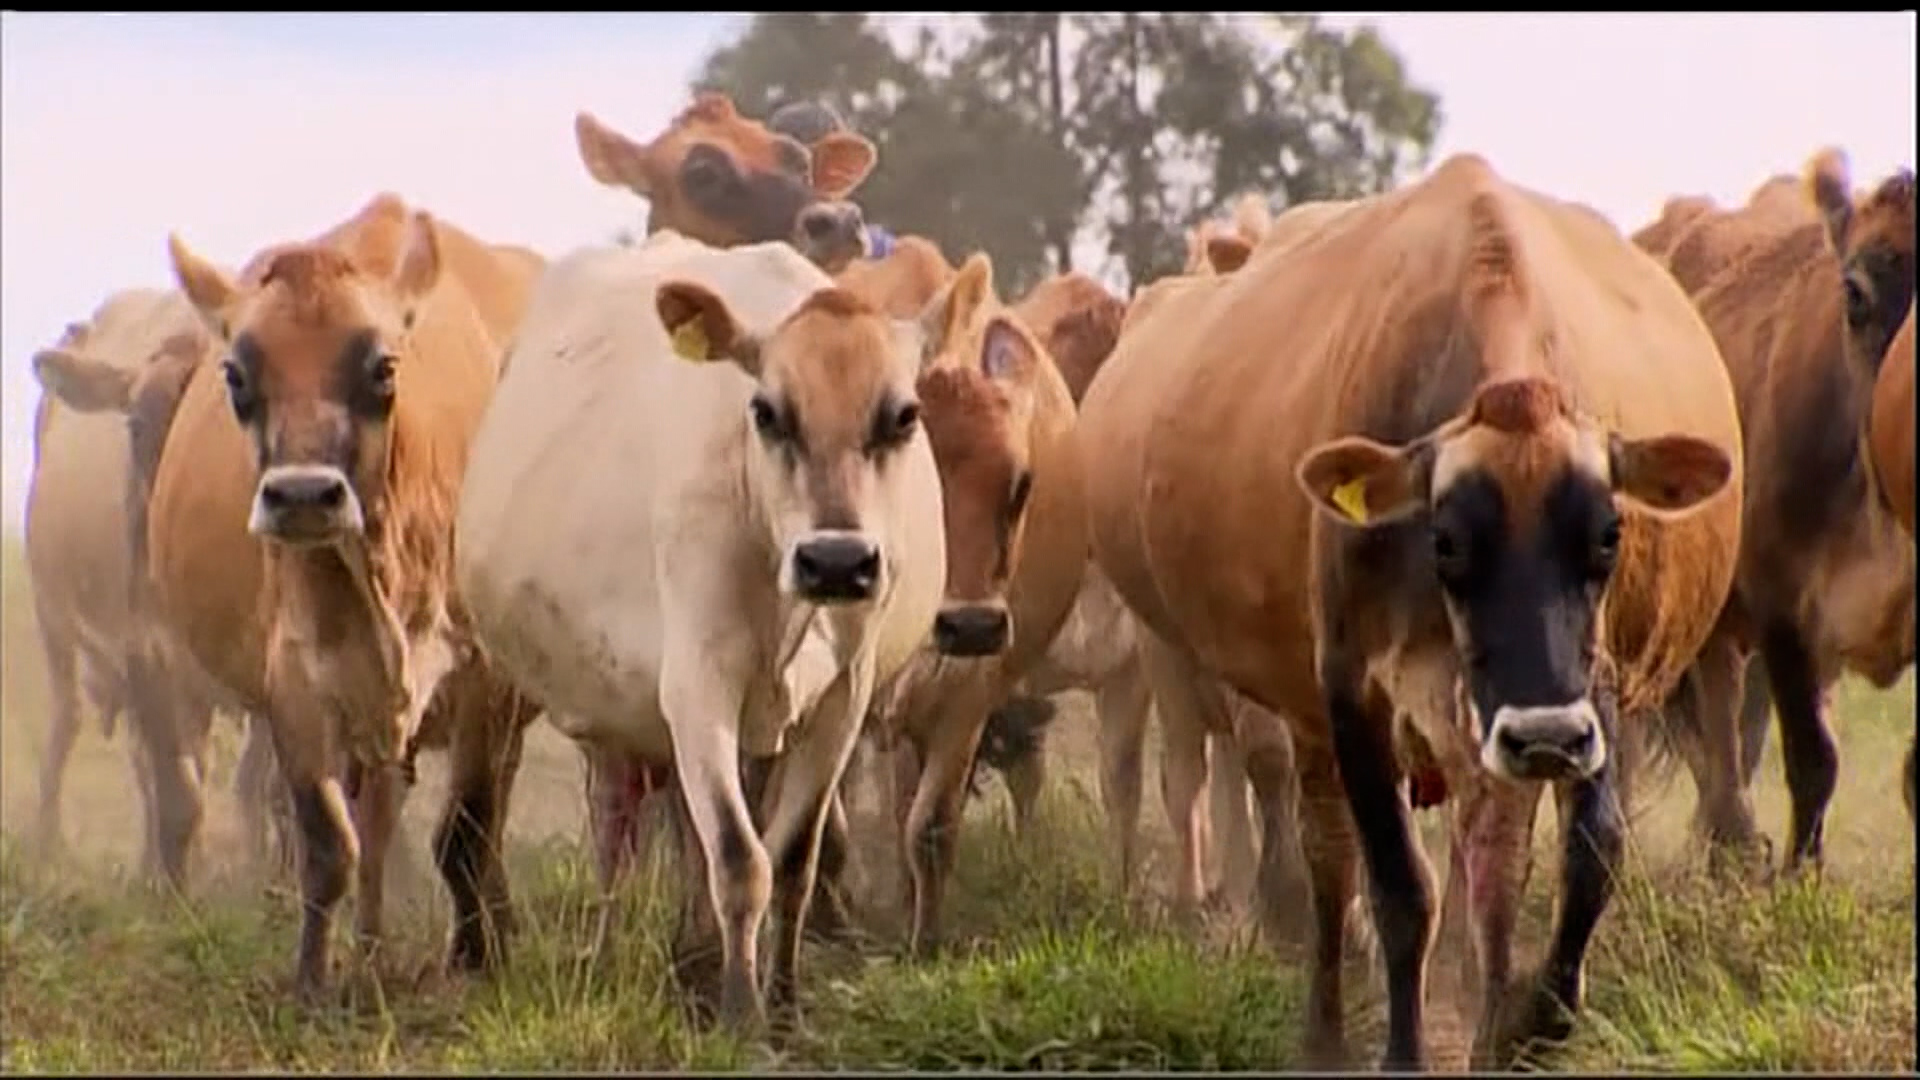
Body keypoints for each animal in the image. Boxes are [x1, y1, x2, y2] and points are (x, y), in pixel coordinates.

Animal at [140, 195, 541, 999]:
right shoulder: (296, 682)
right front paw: (313, 980)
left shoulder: (488, 678)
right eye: (236, 373)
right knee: (376, 818)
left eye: (384, 367)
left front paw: (474, 960)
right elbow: (329, 843)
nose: (302, 496)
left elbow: (467, 833)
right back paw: (372, 944)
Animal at [452, 231, 945, 1031]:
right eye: (767, 412)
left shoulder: (844, 697)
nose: (836, 561)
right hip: (605, 711)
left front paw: (783, 1001)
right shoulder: (696, 685)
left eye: (902, 415)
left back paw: (696, 957)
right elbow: (740, 858)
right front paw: (741, 1016)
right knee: (616, 828)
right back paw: (614, 954)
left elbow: (794, 860)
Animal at [1077, 154, 1742, 1069]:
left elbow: (1584, 855)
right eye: (1447, 539)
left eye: (1609, 535)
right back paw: (1324, 1026)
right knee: (1325, 857)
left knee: (1484, 862)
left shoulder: (1586, 691)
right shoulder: (1349, 694)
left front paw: (1527, 1021)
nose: (1540, 736)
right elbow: (1397, 887)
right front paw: (1402, 1048)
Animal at [1669, 150, 1916, 873]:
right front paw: (1799, 874)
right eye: (1855, 293)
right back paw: (1730, 846)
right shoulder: (1780, 603)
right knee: (1720, 738)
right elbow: (1813, 759)